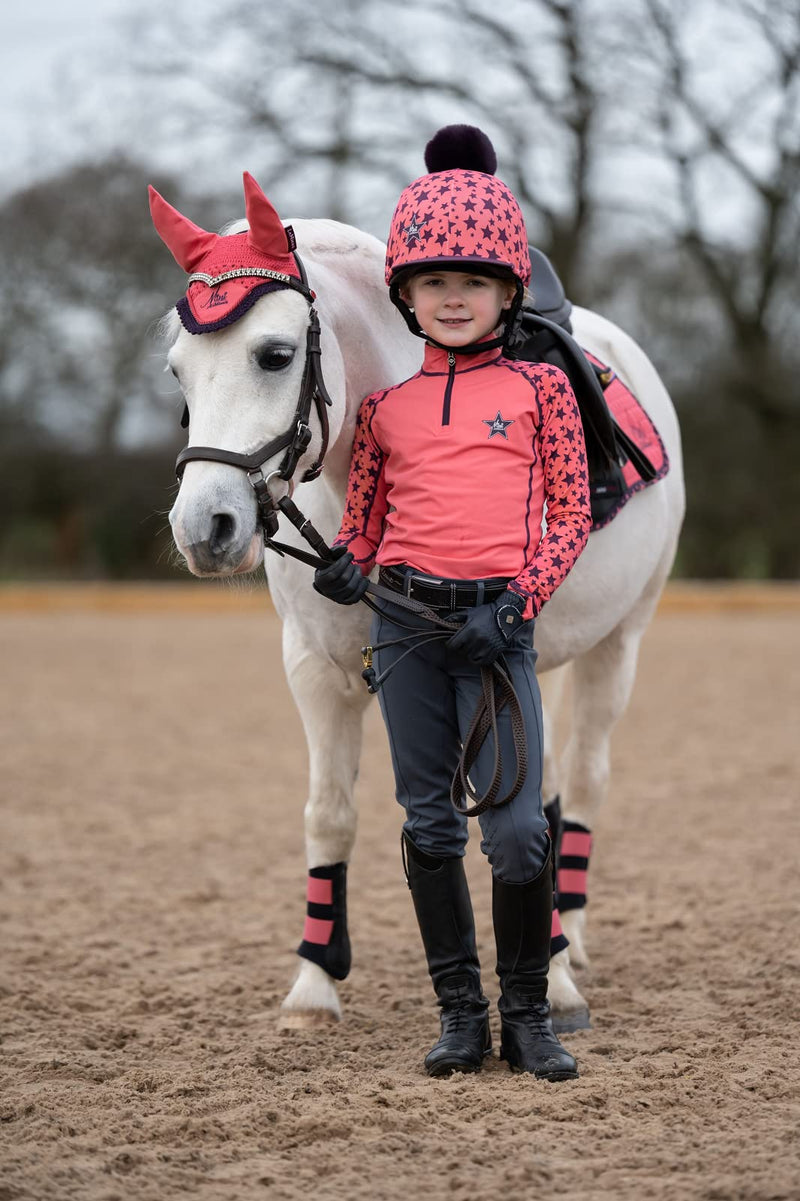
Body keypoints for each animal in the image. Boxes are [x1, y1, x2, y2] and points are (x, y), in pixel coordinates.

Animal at [152, 182, 682, 1028]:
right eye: (179, 371)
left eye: (274, 354)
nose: (206, 527)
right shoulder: (316, 670)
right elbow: (329, 812)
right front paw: (313, 985)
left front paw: (551, 979)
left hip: (617, 645)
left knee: (583, 781)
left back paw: (567, 948)